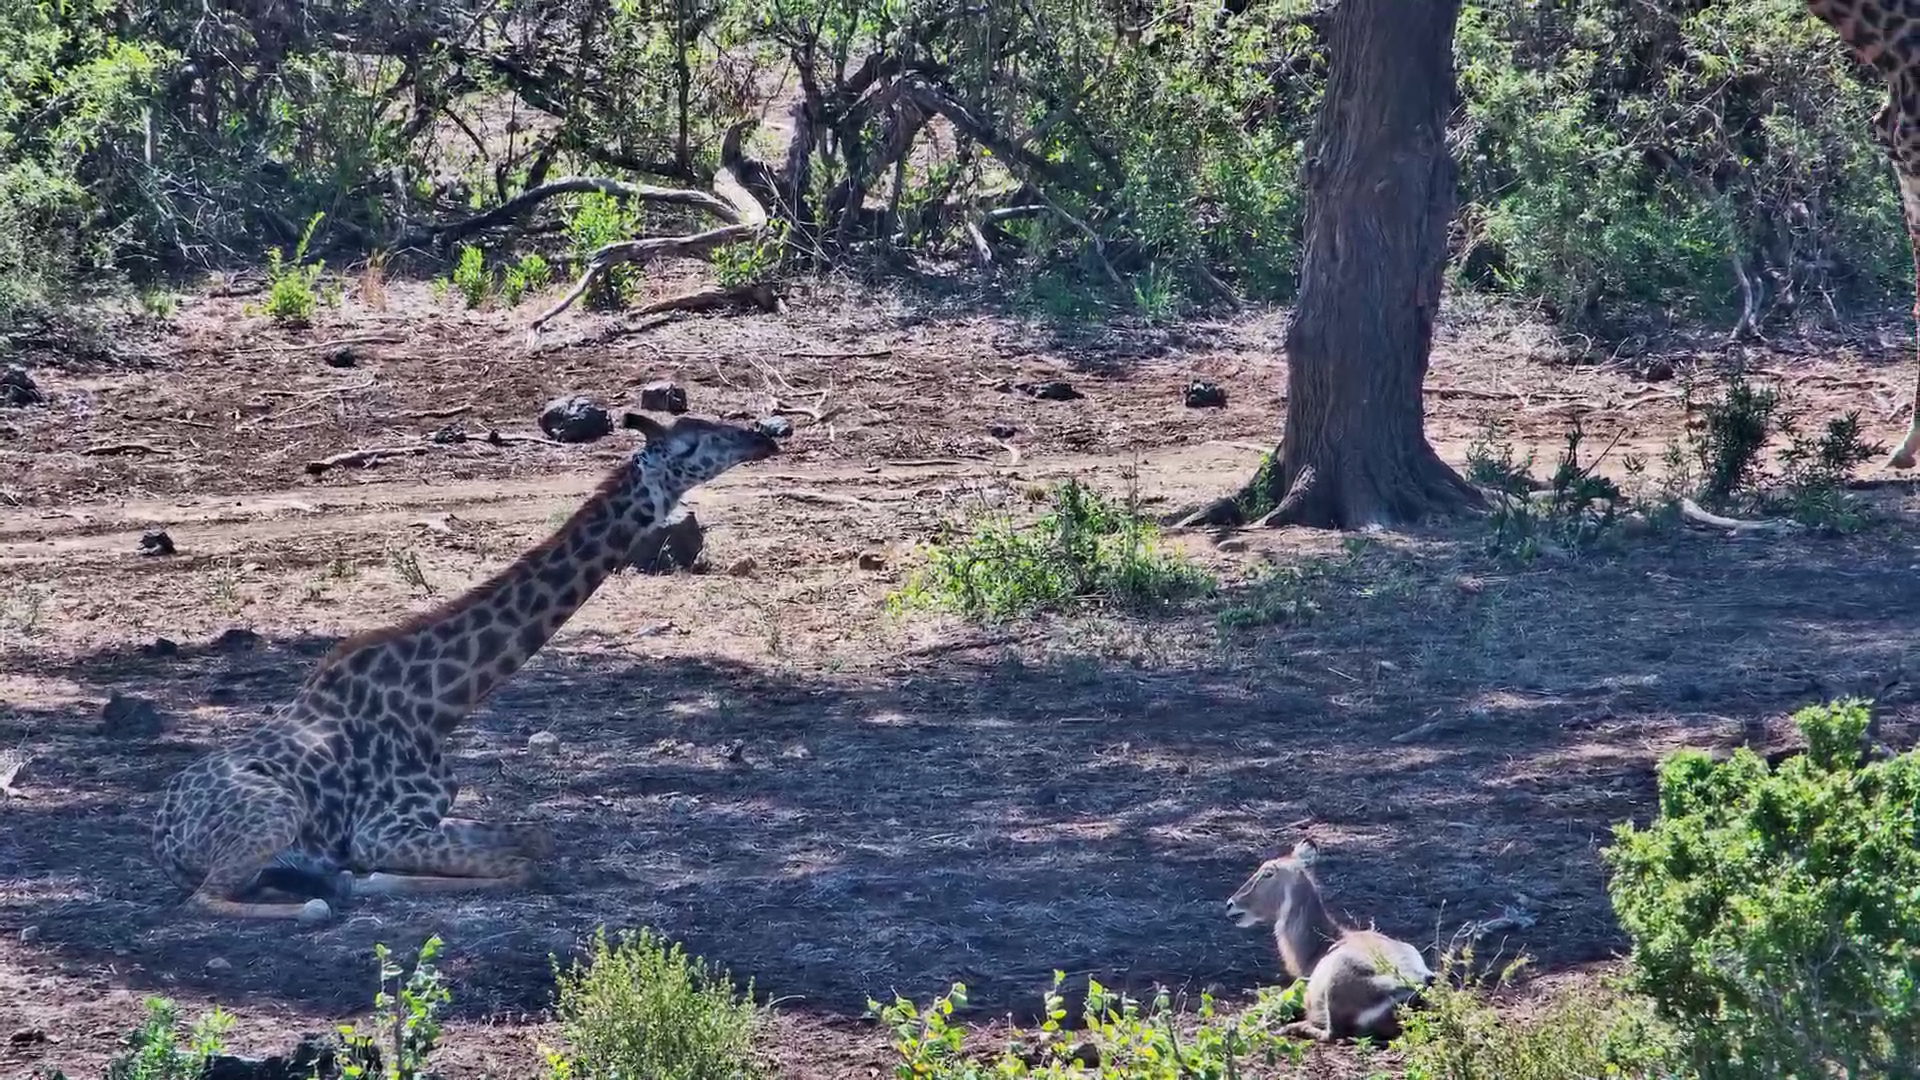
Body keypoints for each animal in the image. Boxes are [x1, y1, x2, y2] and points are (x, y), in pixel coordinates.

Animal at [151, 414, 779, 921]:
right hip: (274, 810)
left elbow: (538, 838)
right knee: (205, 899)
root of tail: (165, 839)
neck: (437, 707)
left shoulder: (431, 819)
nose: (764, 437)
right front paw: (365, 881)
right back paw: (311, 900)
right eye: (695, 442)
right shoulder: (381, 831)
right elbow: (519, 866)